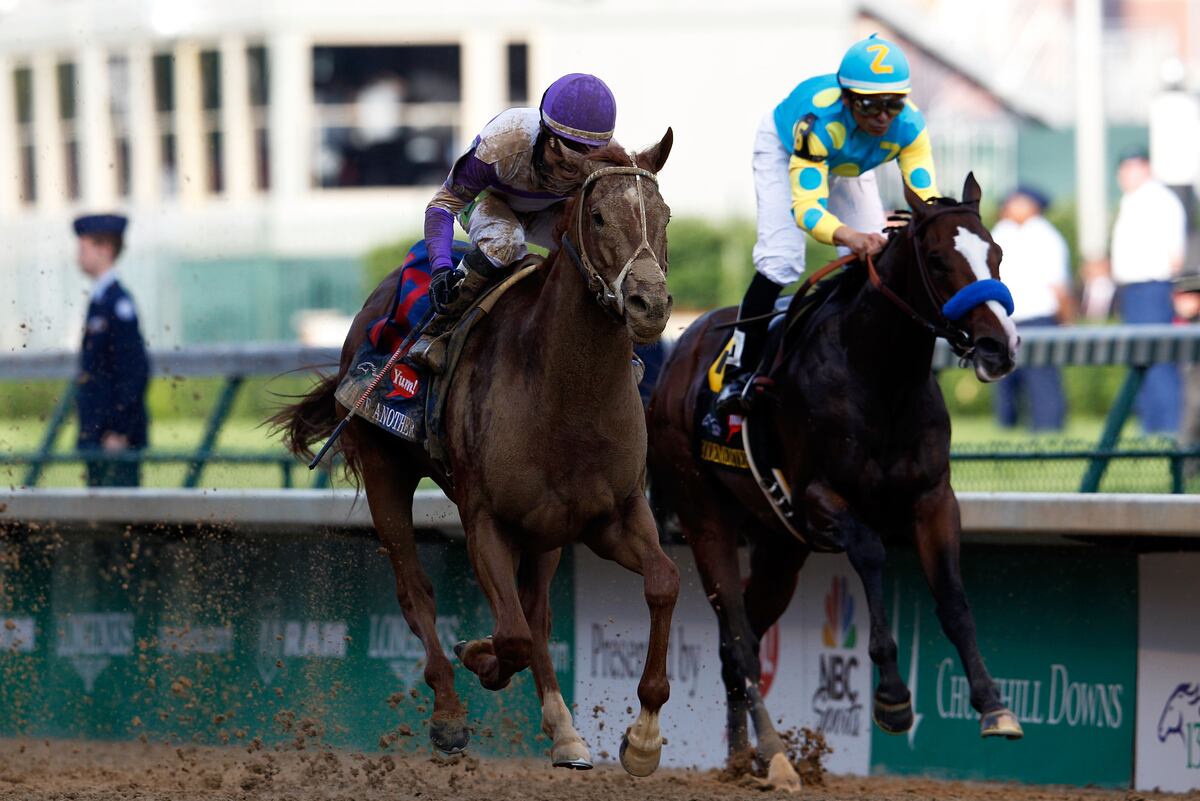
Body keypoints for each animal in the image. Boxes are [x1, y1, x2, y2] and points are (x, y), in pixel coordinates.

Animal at [274, 131, 679, 776]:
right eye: (597, 216)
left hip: (547, 532)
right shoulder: (485, 517)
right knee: (418, 594)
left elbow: (662, 581)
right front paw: (478, 657)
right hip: (386, 472)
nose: (650, 305)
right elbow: (509, 635)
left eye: (664, 216)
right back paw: (448, 711)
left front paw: (642, 738)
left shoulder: (612, 514)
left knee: (536, 611)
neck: (568, 395)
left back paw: (564, 730)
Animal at [646, 174, 1023, 789]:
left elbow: (953, 599)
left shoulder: (934, 500)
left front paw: (994, 705)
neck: (881, 377)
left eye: (996, 254)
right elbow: (870, 551)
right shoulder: (817, 497)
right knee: (741, 644)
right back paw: (775, 756)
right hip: (706, 517)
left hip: (780, 548)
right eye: (939, 261)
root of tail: (681, 351)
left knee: (736, 647)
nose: (1000, 346)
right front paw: (892, 696)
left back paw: (740, 758)